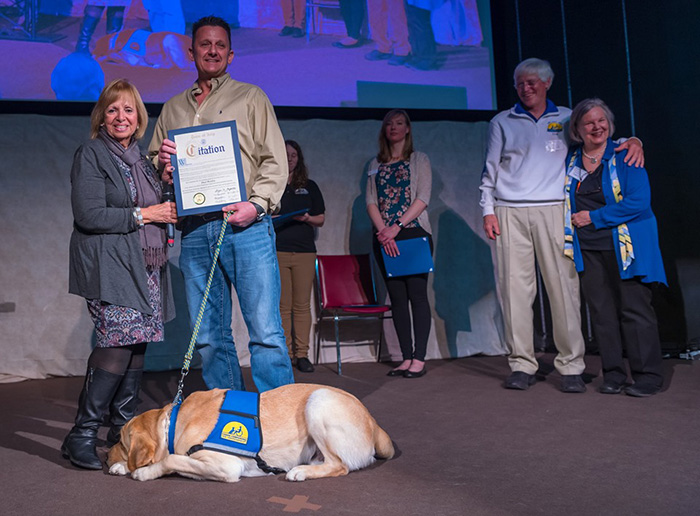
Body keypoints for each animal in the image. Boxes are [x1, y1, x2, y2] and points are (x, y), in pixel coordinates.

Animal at [108, 380, 394, 482]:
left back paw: (300, 472)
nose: (106, 456)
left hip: (319, 401)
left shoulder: (226, 465)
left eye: (121, 442)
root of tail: (373, 422)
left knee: (340, 465)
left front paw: (143, 472)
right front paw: (123, 467)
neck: (173, 422)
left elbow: (172, 460)